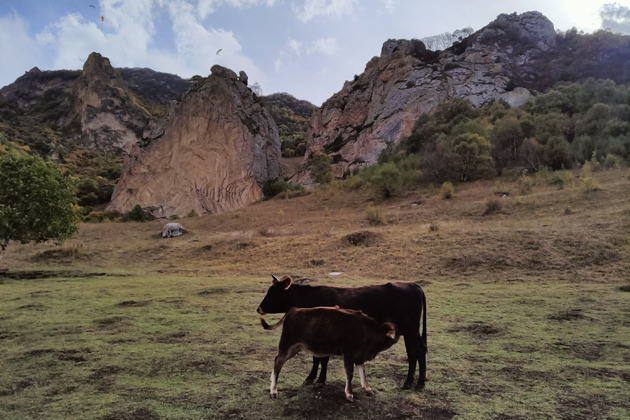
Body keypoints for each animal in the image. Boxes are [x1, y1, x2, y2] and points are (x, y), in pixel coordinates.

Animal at [258, 274, 430, 388]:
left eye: (273, 292)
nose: (258, 308)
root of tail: (413, 285)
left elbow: (322, 359)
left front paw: (319, 380)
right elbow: (316, 358)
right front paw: (312, 377)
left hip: (411, 329)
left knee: (418, 351)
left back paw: (416, 382)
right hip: (408, 331)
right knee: (413, 351)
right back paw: (412, 382)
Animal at [262, 306, 400, 402]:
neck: (365, 329)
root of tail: (293, 309)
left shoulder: (359, 356)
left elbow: (363, 372)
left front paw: (367, 388)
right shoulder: (349, 354)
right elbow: (349, 373)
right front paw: (349, 394)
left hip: (295, 347)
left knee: (276, 360)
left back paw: (272, 380)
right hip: (287, 345)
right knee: (279, 362)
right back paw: (273, 391)